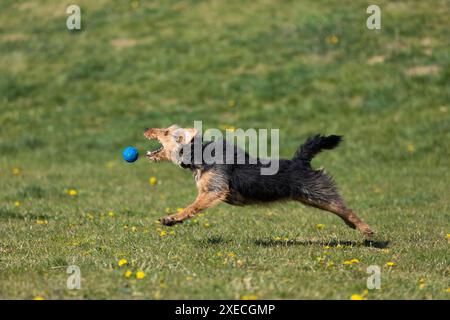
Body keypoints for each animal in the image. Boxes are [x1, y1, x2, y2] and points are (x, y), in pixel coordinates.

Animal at [144, 125, 372, 238]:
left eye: (166, 132)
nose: (147, 130)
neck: (198, 154)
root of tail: (301, 160)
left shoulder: (214, 191)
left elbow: (191, 207)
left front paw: (172, 218)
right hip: (311, 197)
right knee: (341, 210)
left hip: (318, 191)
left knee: (346, 208)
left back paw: (365, 229)